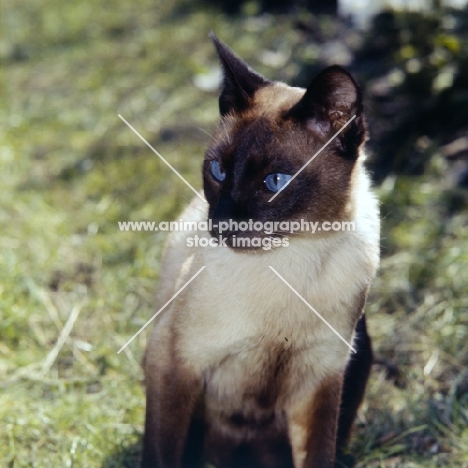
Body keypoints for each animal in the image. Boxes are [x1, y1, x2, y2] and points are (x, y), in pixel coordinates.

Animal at [143, 34, 380, 468]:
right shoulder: (174, 363)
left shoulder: (320, 381)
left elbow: (318, 454)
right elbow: (160, 453)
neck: (287, 260)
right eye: (218, 171)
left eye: (275, 182)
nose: (223, 223)